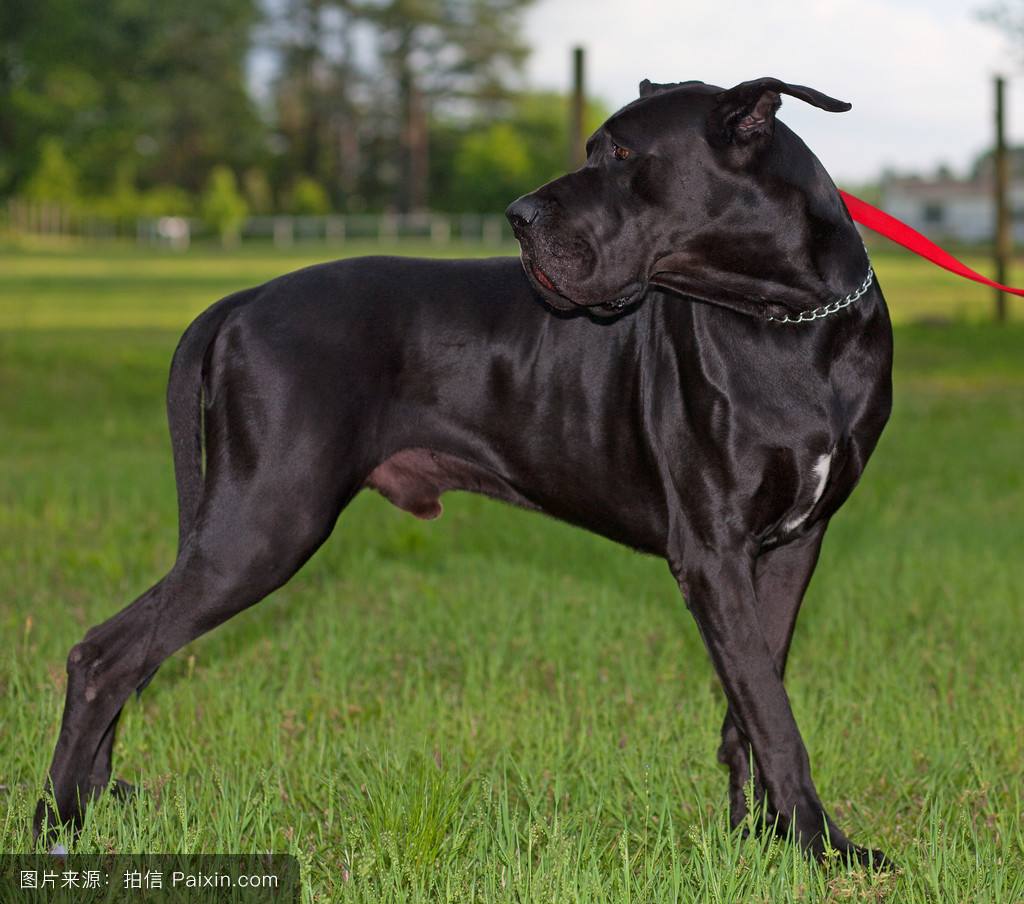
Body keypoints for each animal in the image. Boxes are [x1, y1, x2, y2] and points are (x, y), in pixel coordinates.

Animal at [36, 75, 892, 864]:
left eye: (620, 156)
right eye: (593, 149)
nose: (519, 216)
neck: (793, 319)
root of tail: (242, 299)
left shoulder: (789, 547)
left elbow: (754, 696)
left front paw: (762, 840)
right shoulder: (712, 554)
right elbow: (772, 713)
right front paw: (825, 848)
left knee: (132, 654)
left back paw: (95, 801)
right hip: (263, 525)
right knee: (103, 655)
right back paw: (59, 822)